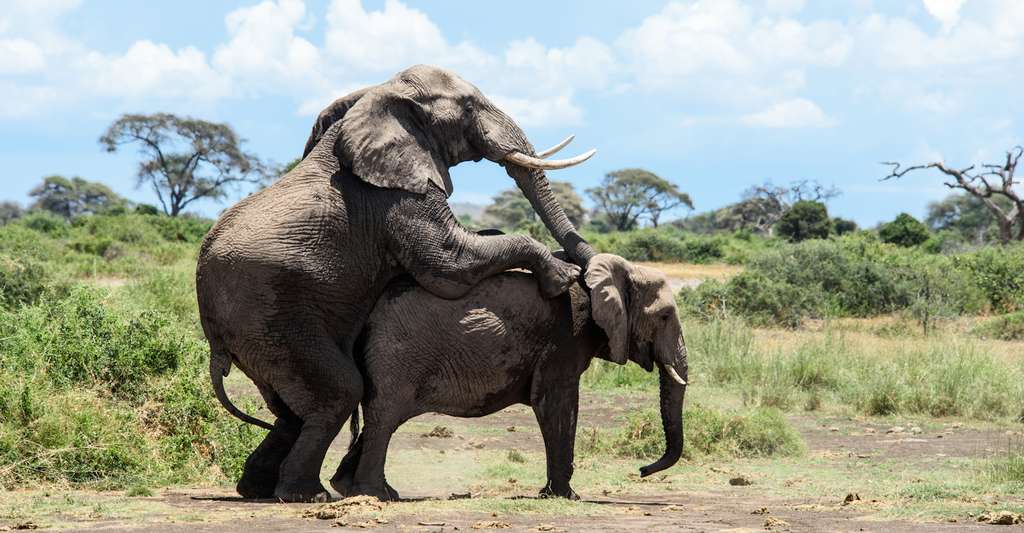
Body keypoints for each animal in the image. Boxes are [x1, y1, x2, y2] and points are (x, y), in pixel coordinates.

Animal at [193, 64, 598, 501]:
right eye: (469, 105)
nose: (584, 267)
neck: (378, 95)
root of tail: (213, 338)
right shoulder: (397, 196)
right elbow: (451, 263)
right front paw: (561, 277)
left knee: (291, 411)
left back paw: (259, 488)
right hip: (269, 317)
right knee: (338, 392)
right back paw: (307, 494)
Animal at [335, 252, 688, 499]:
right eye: (665, 316)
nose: (642, 471)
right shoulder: (565, 337)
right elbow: (556, 403)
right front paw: (566, 496)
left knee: (384, 419)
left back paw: (351, 487)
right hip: (396, 353)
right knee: (385, 417)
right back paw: (374, 494)